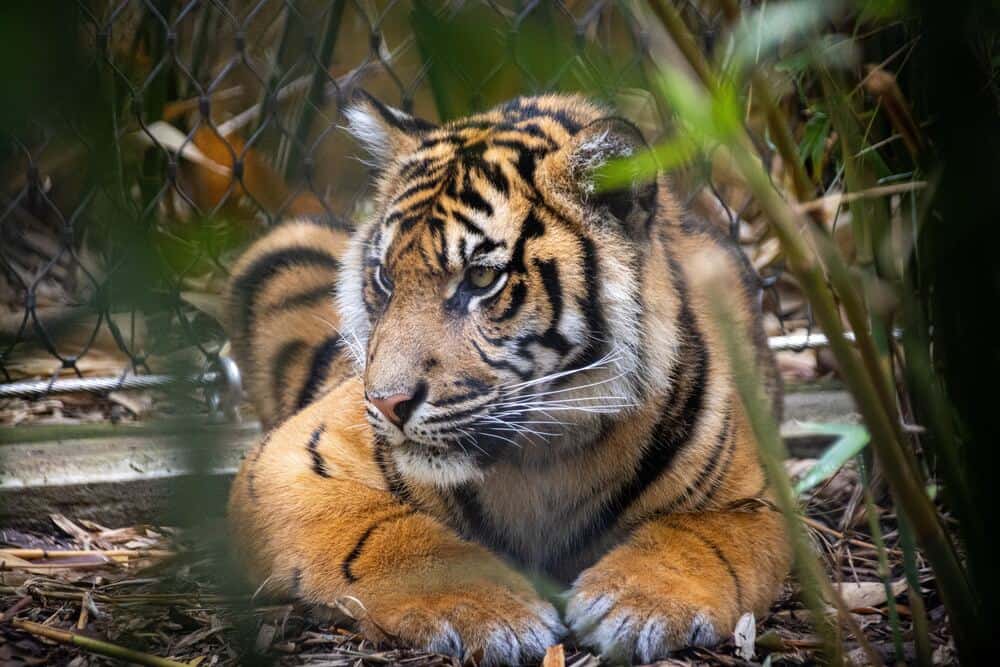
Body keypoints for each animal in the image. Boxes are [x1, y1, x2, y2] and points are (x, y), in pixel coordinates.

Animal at [225, 91, 788, 664]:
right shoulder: (287, 460)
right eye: (384, 278)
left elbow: (699, 540)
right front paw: (488, 609)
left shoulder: (753, 498)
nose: (386, 403)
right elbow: (384, 535)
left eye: (480, 278)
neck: (543, 457)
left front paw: (639, 602)